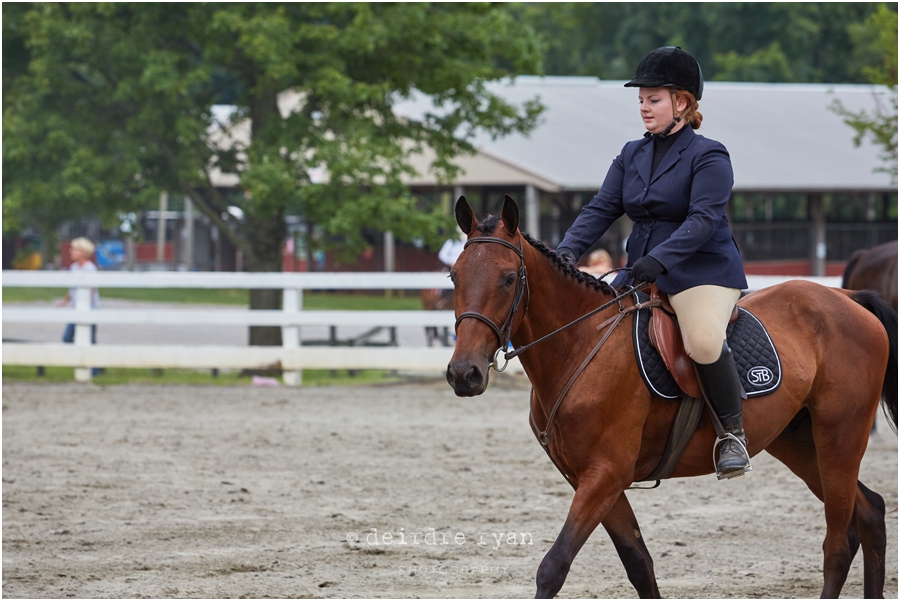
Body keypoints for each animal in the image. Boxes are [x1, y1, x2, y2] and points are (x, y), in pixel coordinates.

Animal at [446, 196, 896, 596]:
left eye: (508, 279)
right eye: (454, 277)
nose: (464, 374)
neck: (580, 344)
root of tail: (848, 298)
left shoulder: (606, 473)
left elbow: (553, 567)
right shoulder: (588, 478)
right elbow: (639, 564)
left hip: (839, 439)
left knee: (837, 544)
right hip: (798, 443)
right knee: (870, 512)